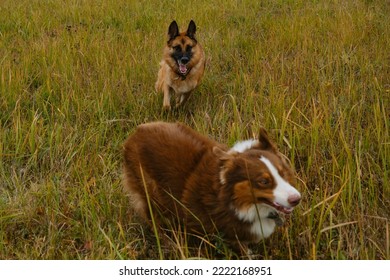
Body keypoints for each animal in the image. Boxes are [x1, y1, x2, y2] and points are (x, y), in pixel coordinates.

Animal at [123, 122, 300, 247]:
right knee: (154, 218)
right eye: (263, 182)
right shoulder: (231, 237)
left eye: (283, 173)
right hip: (150, 193)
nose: (297, 199)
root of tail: (136, 132)